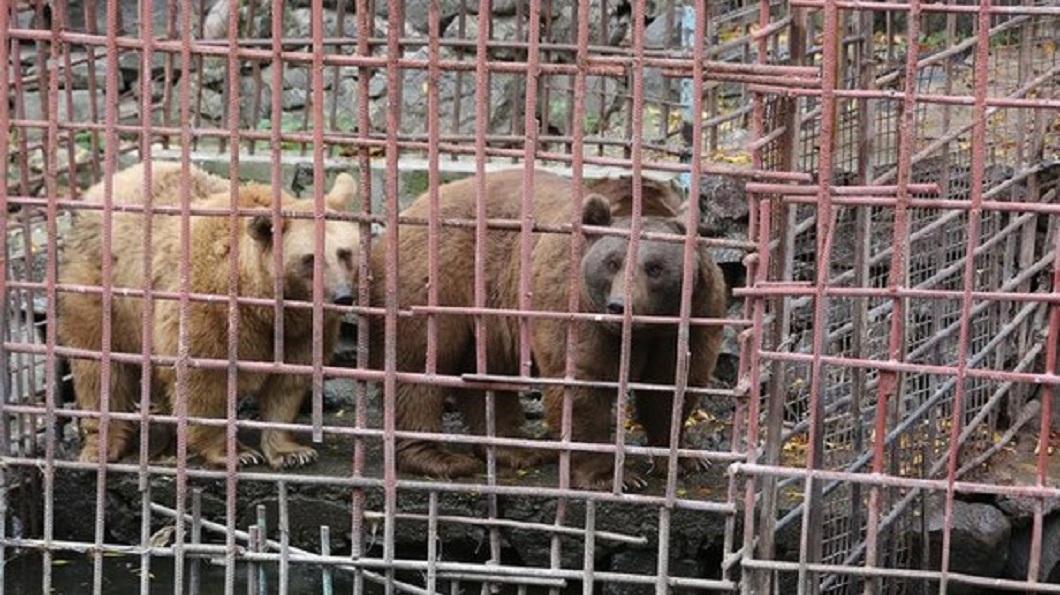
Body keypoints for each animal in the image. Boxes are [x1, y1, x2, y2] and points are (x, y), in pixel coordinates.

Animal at [58, 162, 361, 469]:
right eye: (310, 259)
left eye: (345, 253)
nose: (343, 296)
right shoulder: (208, 312)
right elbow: (202, 383)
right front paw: (236, 453)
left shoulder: (301, 331)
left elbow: (287, 385)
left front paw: (291, 451)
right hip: (102, 293)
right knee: (99, 369)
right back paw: (102, 446)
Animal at [369, 169, 726, 489]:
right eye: (612, 262)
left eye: (654, 267)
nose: (620, 306)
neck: (647, 329)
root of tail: (409, 210)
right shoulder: (575, 305)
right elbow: (582, 384)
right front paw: (610, 477)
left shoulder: (697, 316)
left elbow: (673, 387)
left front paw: (686, 460)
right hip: (435, 275)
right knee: (418, 364)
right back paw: (440, 458)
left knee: (488, 377)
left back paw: (517, 450)